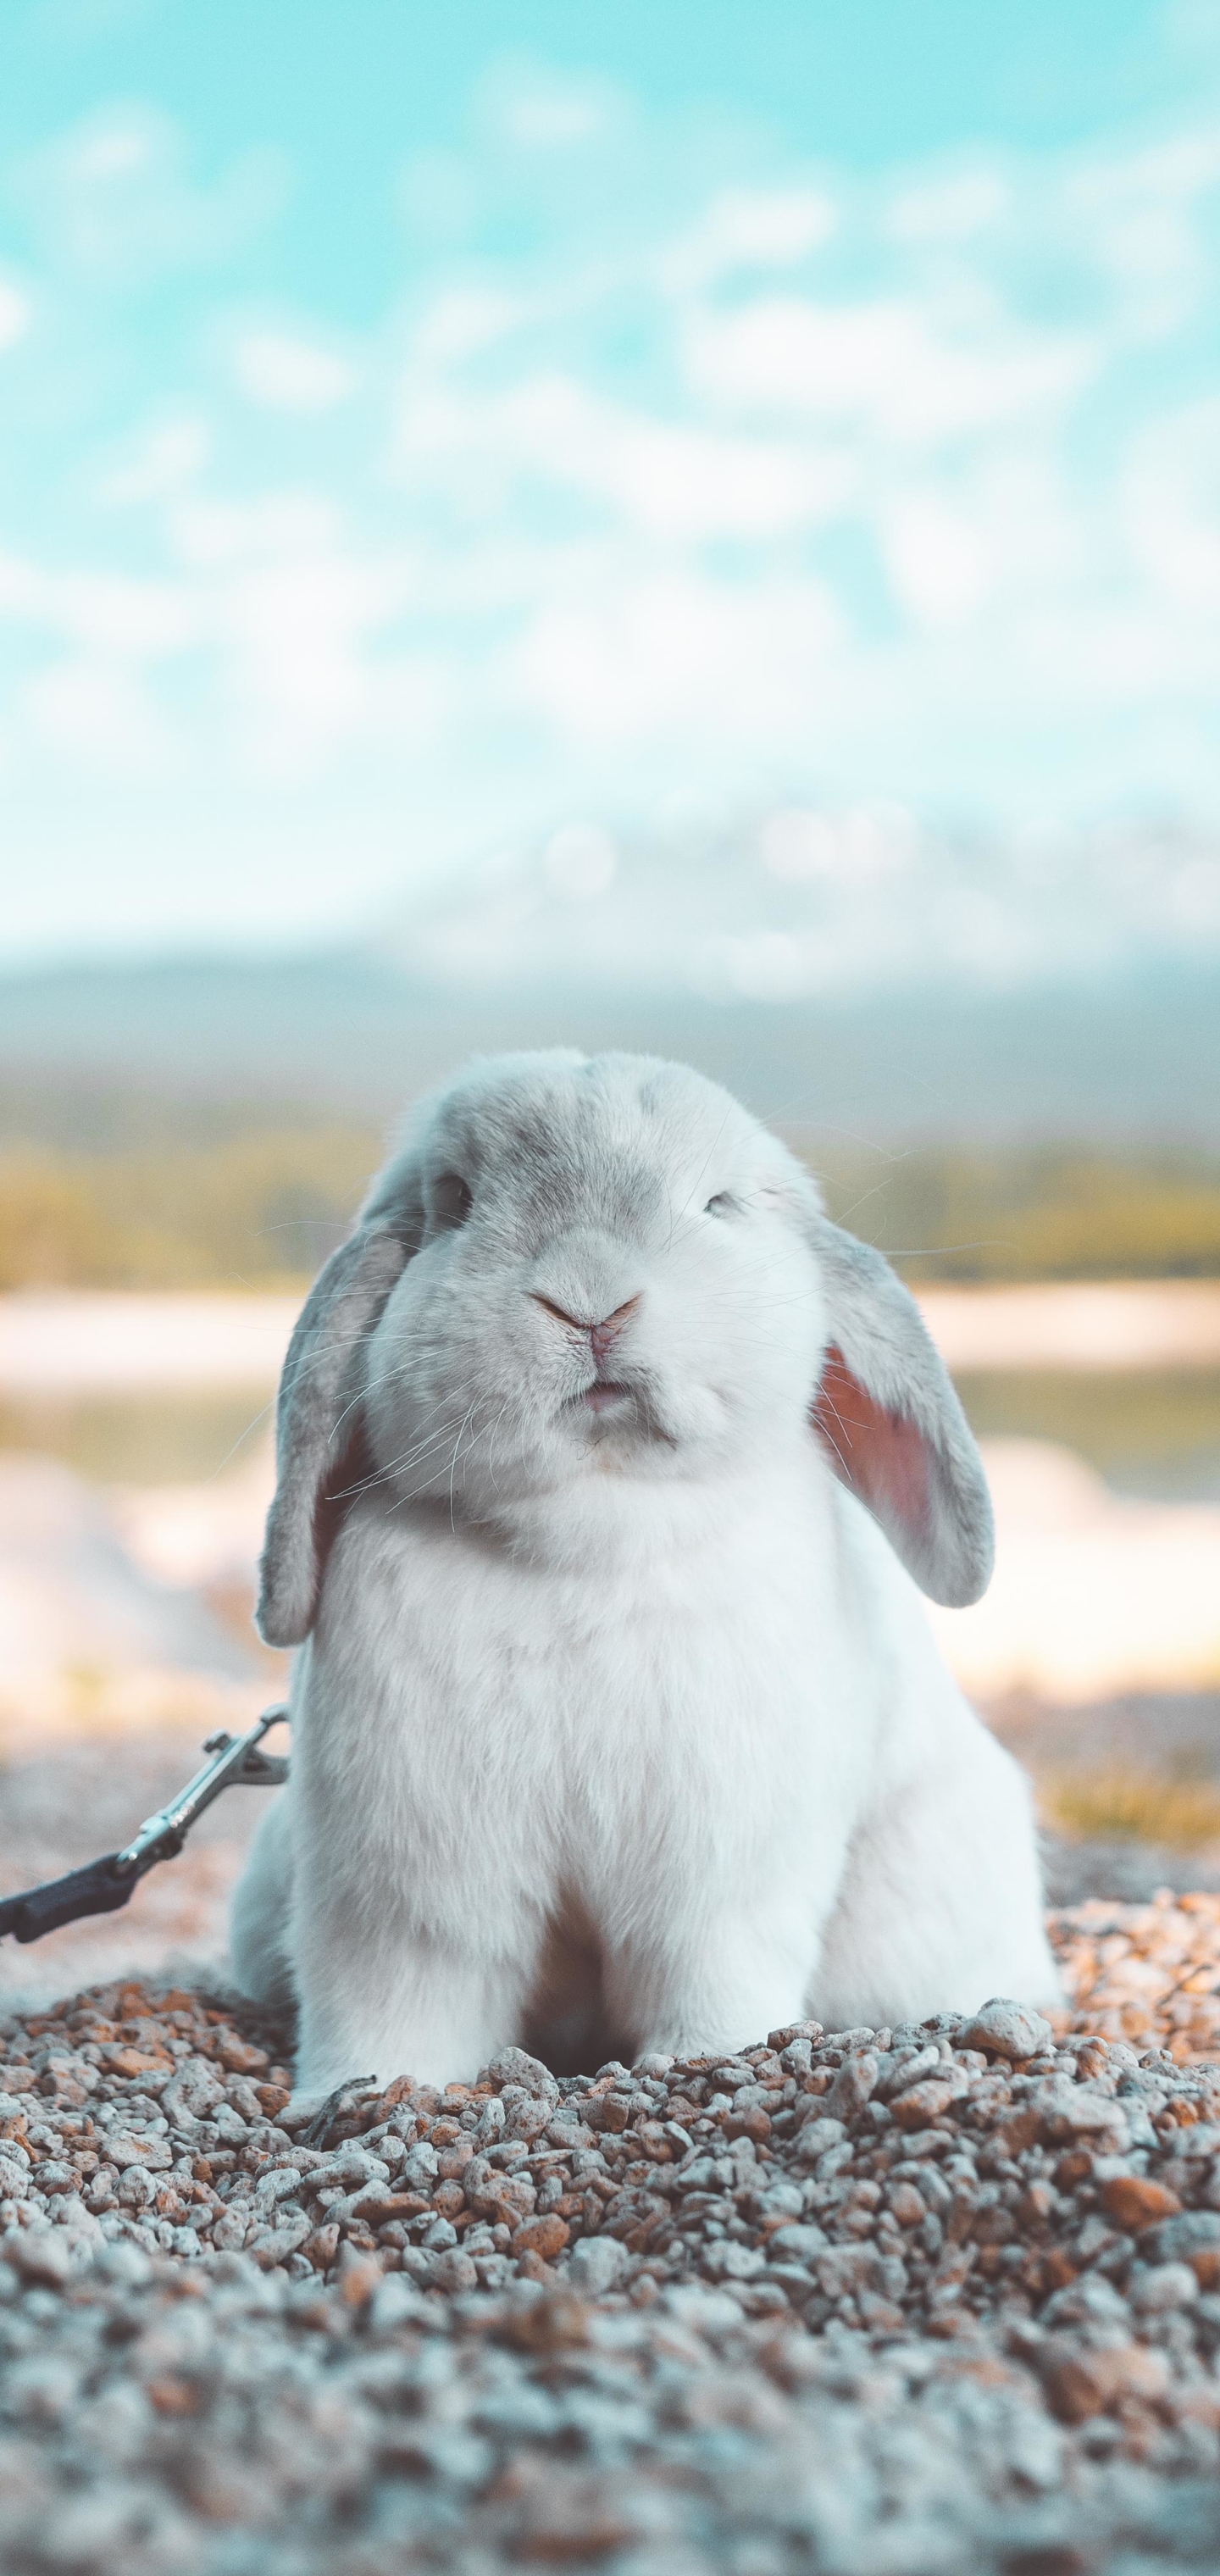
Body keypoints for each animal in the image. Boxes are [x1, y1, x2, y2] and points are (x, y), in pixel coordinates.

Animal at [231, 1041, 1060, 2091]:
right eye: (455, 1200)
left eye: (717, 1204)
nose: (592, 1298)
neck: (590, 1534)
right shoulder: (407, 1891)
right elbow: (394, 2001)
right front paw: (363, 2092)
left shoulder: (718, 1878)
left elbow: (707, 1972)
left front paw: (707, 2059)